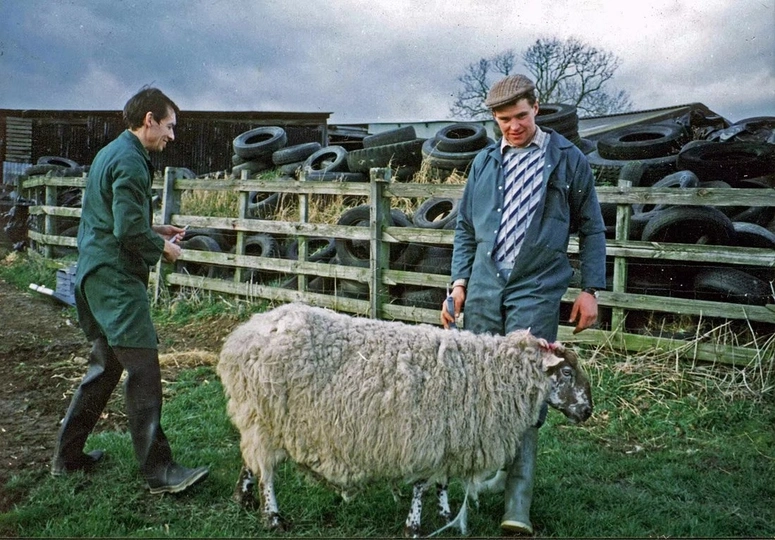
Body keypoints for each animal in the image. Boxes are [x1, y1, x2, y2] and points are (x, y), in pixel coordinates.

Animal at [217, 302, 593, 537]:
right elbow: (421, 486)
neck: (491, 373)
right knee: (266, 471)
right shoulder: (425, 439)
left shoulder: (446, 440)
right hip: (265, 418)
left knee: (250, 459)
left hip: (257, 418)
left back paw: (242, 498)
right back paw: (272, 517)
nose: (588, 411)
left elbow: (441, 483)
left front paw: (444, 515)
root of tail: (244, 334)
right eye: (567, 372)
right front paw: (414, 526)